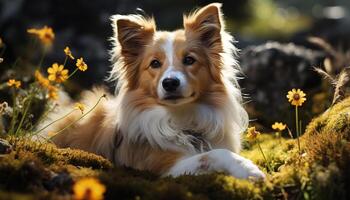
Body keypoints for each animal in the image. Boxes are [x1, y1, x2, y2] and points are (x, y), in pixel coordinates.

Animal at [43, 2, 266, 180]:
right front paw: (249, 170)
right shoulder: (163, 167)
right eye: (155, 63)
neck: (182, 120)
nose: (170, 83)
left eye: (189, 60)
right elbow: (212, 154)